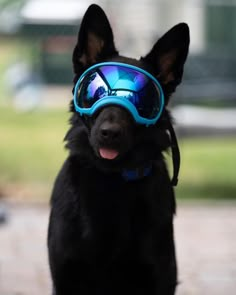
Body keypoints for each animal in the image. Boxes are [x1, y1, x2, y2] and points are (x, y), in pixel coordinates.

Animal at [48, 3, 190, 294]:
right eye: (94, 91)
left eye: (143, 100)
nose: (109, 134)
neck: (111, 179)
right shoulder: (66, 276)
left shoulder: (159, 277)